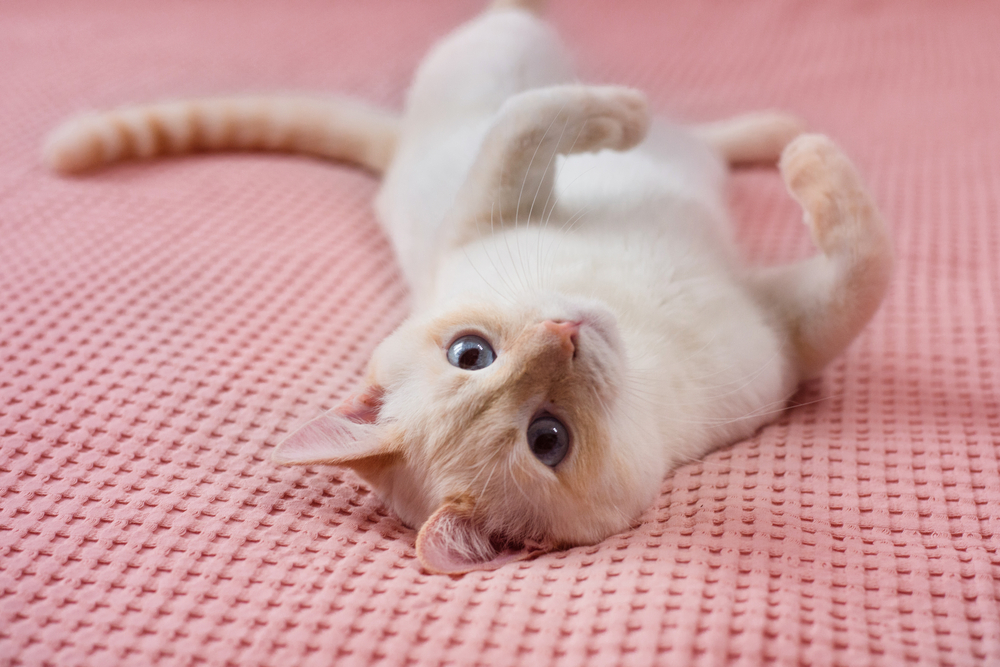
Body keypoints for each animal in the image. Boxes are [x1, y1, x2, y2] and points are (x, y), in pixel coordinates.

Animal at [43, 0, 896, 576]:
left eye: (470, 352)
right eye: (547, 438)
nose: (565, 333)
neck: (642, 334)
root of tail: (398, 150)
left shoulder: (487, 202)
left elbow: (526, 120)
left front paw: (625, 118)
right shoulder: (797, 326)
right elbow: (868, 257)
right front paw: (812, 163)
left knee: (612, 105)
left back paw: (732, 123)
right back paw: (758, 133)